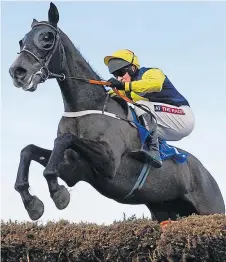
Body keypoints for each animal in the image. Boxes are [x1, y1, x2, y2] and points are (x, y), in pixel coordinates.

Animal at [8, 3, 224, 222]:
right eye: (21, 41)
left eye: (47, 38)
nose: (17, 72)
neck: (86, 107)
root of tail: (207, 174)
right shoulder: (72, 168)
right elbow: (29, 150)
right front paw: (32, 202)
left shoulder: (110, 162)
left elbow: (64, 139)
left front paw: (58, 194)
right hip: (166, 210)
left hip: (211, 207)